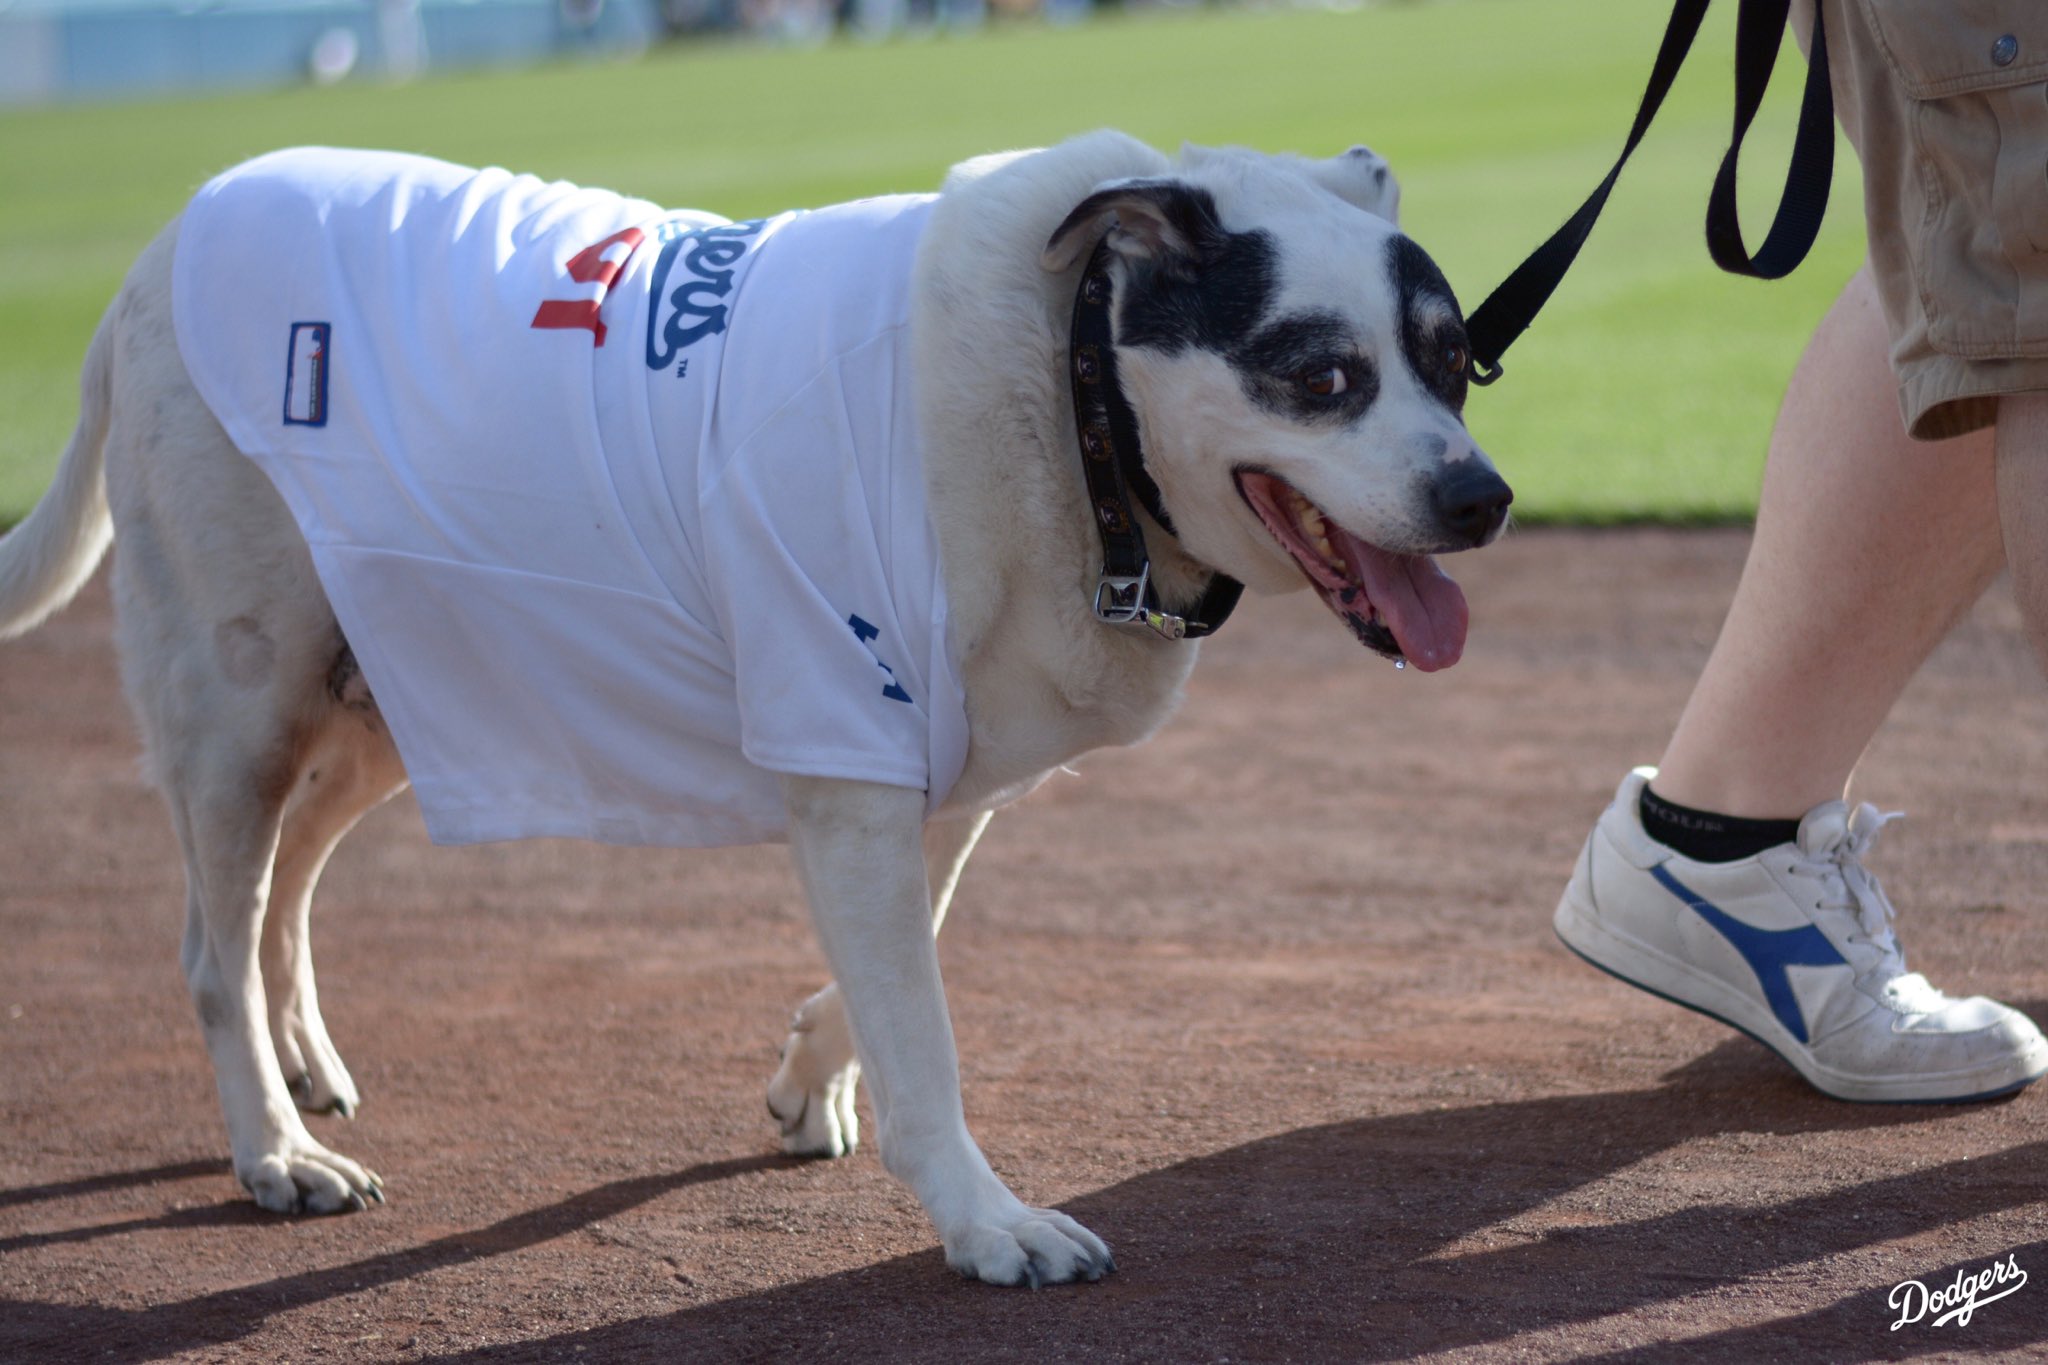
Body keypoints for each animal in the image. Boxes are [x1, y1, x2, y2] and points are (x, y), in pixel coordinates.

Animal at [0, 133, 1507, 1285]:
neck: (1070, 390)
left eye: (1457, 363)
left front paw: (811, 1076)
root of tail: (159, 253)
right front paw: (985, 1222)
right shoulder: (848, 759)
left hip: (387, 683)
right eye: (1320, 374)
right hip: (243, 705)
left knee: (286, 885)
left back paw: (304, 1069)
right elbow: (925, 1035)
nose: (1481, 498)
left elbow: (894, 970)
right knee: (212, 940)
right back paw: (273, 1149)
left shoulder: (926, 772)